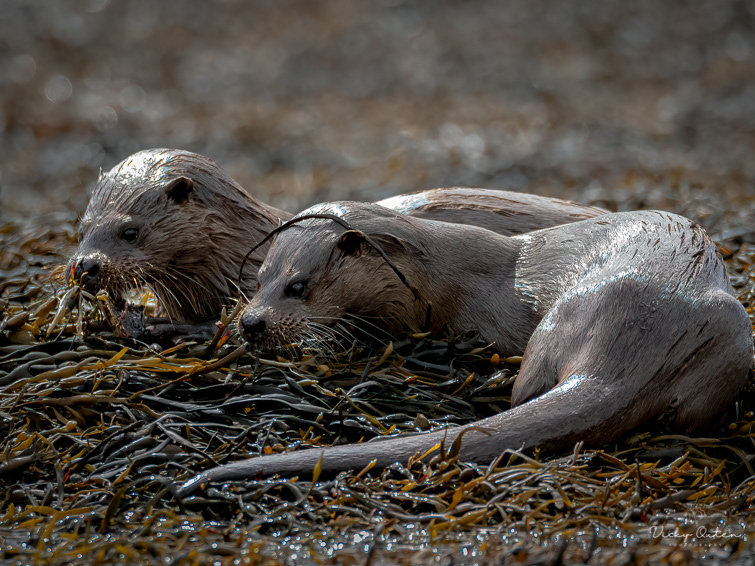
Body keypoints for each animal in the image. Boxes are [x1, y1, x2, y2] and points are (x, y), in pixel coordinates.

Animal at [179, 202, 753, 493]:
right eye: (258, 279)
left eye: (297, 286)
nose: (250, 323)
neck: (446, 280)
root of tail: (621, 356)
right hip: (730, 337)